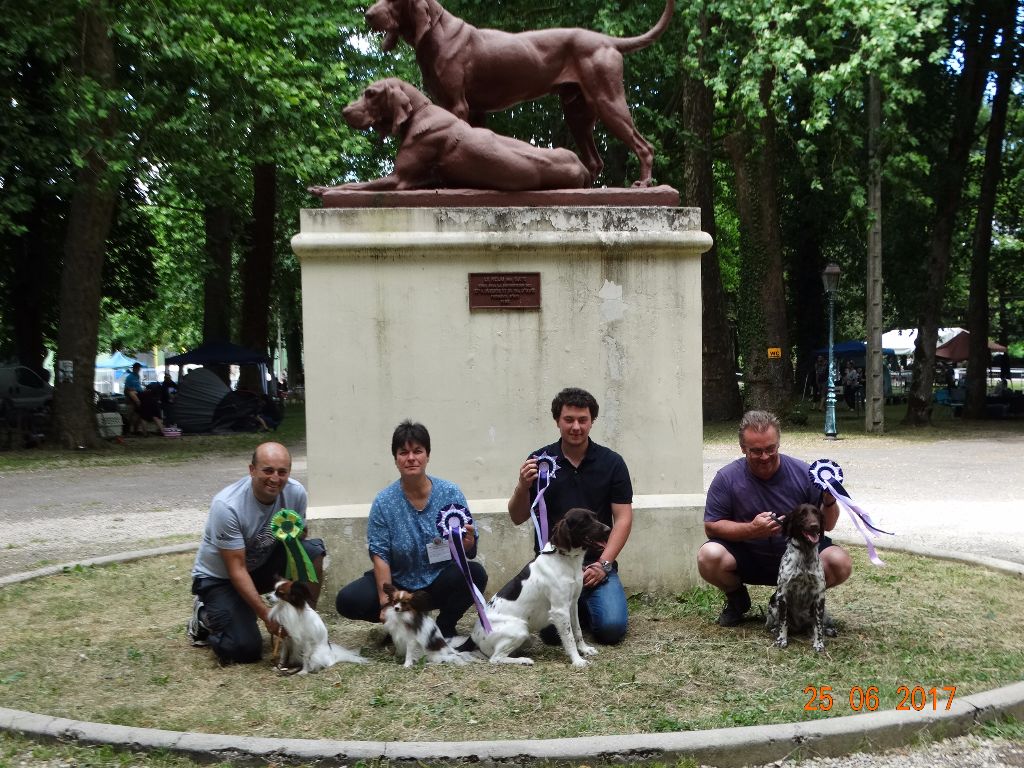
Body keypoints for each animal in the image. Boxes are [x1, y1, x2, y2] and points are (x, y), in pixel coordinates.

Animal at [468, 507, 606, 663]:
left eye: (595, 517)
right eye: (584, 521)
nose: (608, 529)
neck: (566, 560)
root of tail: (474, 635)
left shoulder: (573, 604)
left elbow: (577, 630)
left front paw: (584, 649)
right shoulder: (560, 610)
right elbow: (569, 637)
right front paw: (577, 660)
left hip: (527, 636)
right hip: (520, 629)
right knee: (495, 658)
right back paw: (523, 660)